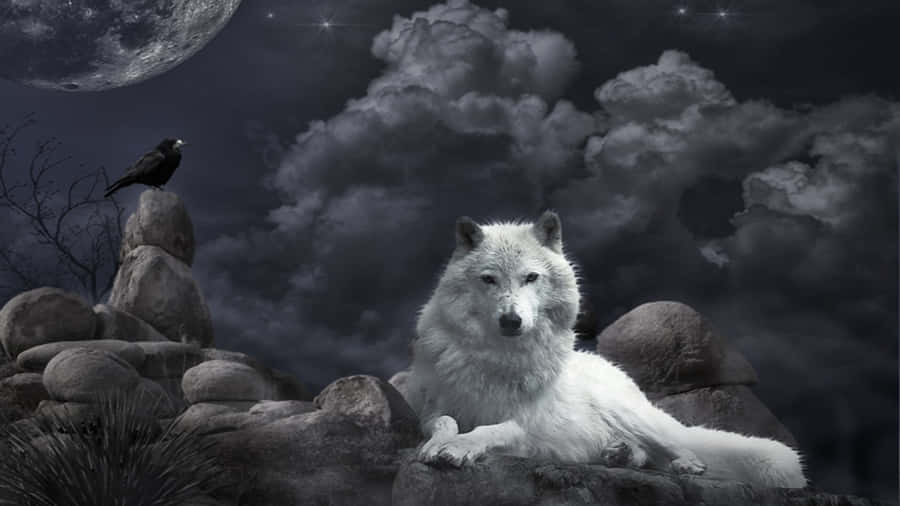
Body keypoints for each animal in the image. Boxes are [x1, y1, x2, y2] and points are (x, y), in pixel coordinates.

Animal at [404, 211, 806, 489]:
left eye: (531, 277)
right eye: (489, 279)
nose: (511, 321)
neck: (496, 357)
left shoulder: (525, 425)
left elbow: (490, 430)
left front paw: (458, 448)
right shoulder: (431, 408)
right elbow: (445, 422)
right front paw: (437, 445)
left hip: (632, 414)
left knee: (674, 445)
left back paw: (684, 463)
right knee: (645, 455)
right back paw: (619, 453)